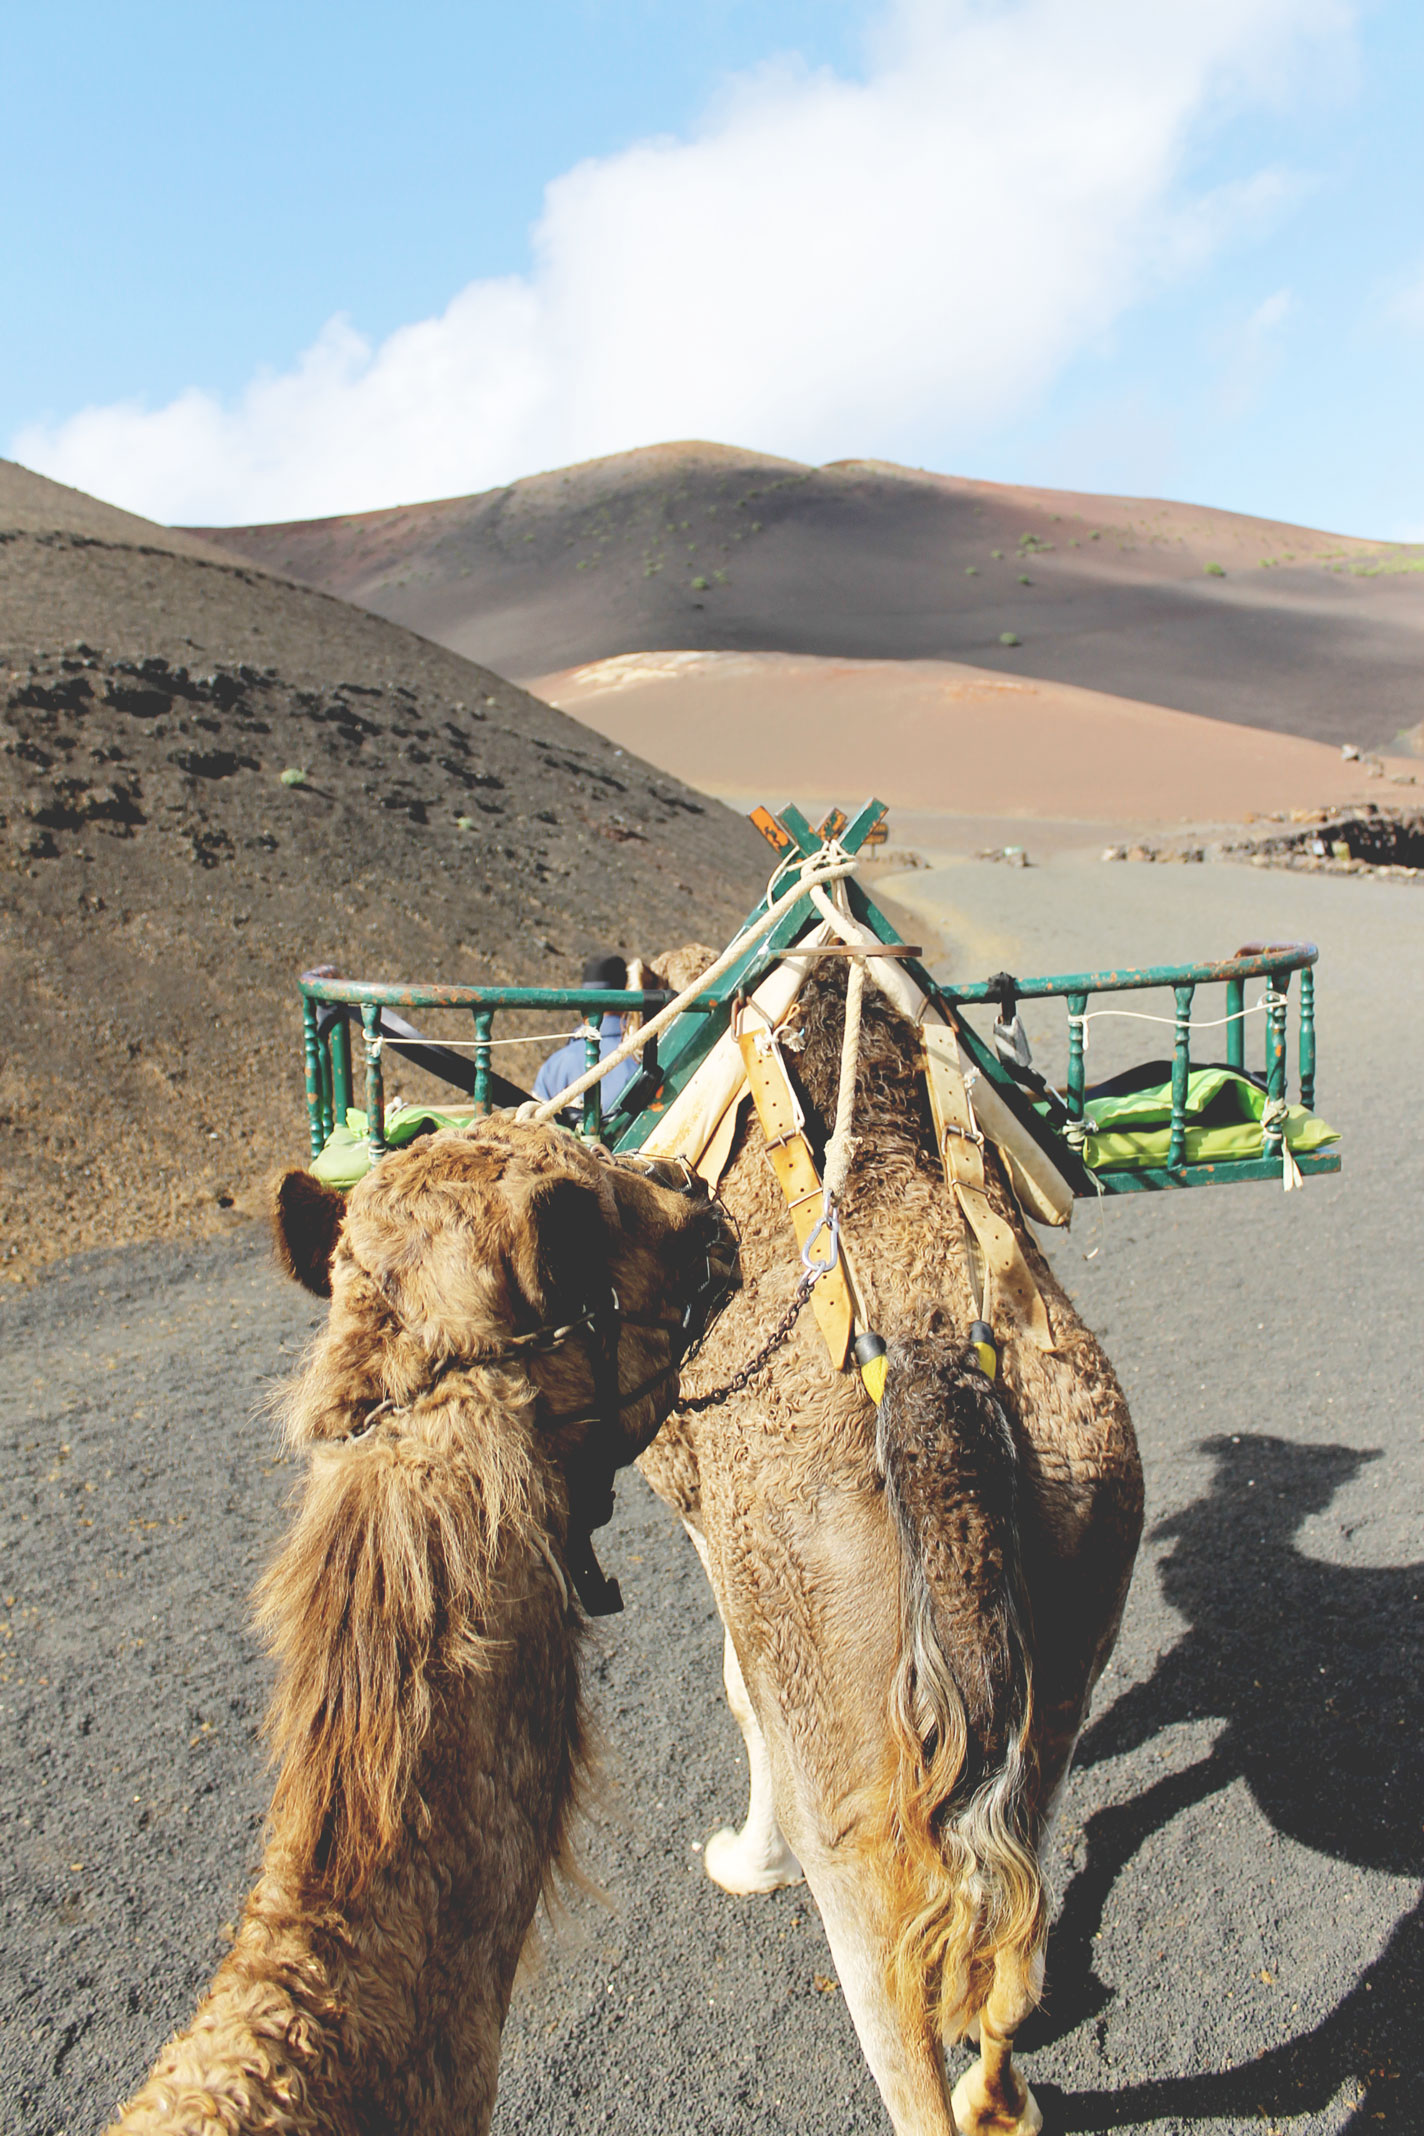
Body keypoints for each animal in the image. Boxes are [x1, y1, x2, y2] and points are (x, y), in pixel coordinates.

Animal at [636, 952, 1144, 2136]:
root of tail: (933, 1381)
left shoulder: (705, 1517)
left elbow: (741, 1695)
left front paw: (744, 1863)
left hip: (859, 1780)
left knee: (894, 2007)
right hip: (1067, 1635)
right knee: (1014, 1921)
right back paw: (999, 2095)